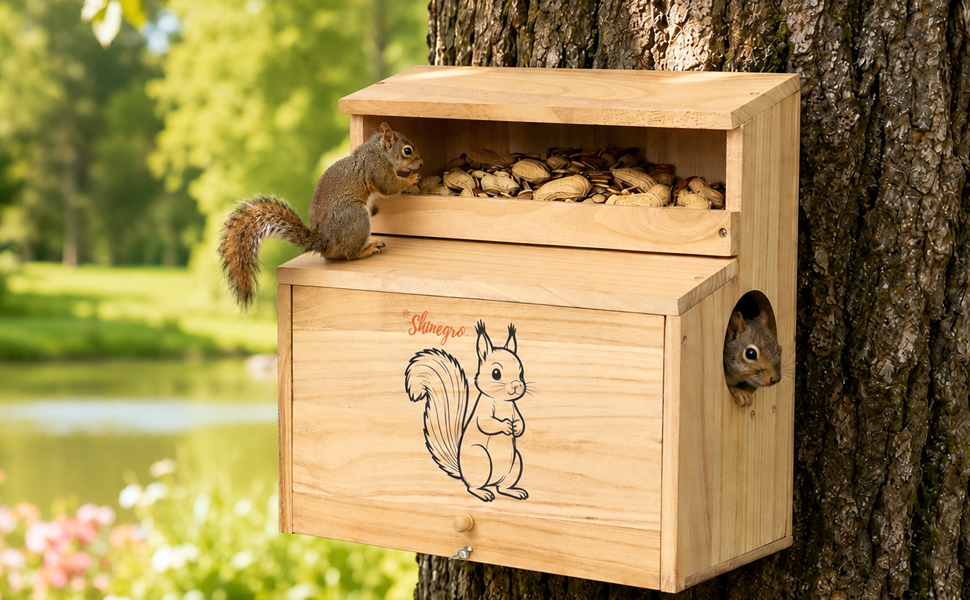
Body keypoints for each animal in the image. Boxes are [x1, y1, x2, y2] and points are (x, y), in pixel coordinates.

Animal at [217, 122, 422, 310]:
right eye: (407, 150)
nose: (421, 163)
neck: (378, 150)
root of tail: (325, 239)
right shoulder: (377, 168)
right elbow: (390, 186)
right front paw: (411, 178)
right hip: (357, 218)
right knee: (351, 255)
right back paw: (369, 248)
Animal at [405, 320, 529, 502]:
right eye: (496, 373)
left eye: (521, 371)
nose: (517, 385)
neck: (501, 402)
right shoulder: (482, 411)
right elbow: (486, 423)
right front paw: (505, 426)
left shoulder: (514, 407)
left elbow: (520, 420)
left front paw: (517, 428)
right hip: (480, 457)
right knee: (473, 487)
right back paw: (483, 492)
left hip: (516, 462)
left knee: (501, 487)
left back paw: (513, 491)